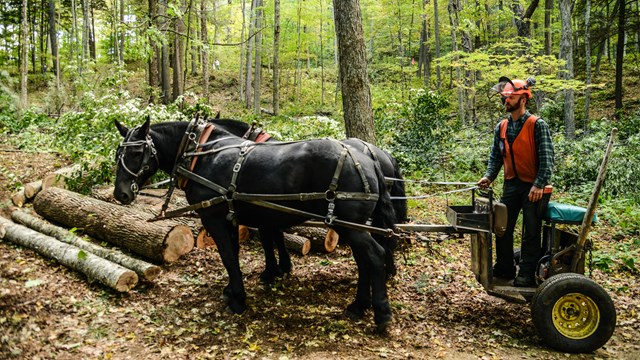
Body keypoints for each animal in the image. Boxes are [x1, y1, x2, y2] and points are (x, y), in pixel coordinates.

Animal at [112, 119, 398, 332]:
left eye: (136, 152)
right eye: (118, 154)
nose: (120, 194)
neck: (200, 154)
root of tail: (369, 159)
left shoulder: (214, 218)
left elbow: (229, 255)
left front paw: (238, 298)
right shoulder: (235, 217)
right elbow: (239, 252)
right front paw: (238, 287)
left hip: (352, 226)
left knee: (375, 256)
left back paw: (381, 314)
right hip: (349, 225)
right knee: (364, 260)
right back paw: (359, 306)